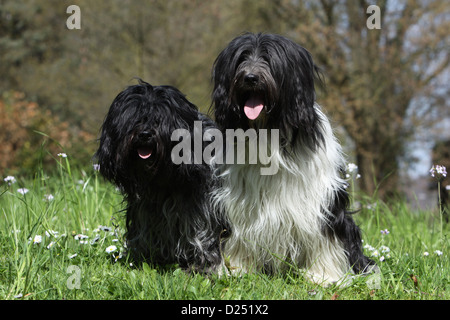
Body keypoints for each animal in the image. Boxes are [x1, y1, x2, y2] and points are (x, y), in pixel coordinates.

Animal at [95, 80, 229, 272]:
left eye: (160, 119)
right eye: (134, 118)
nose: (145, 134)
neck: (162, 180)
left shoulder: (204, 211)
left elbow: (203, 237)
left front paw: (206, 267)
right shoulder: (145, 211)